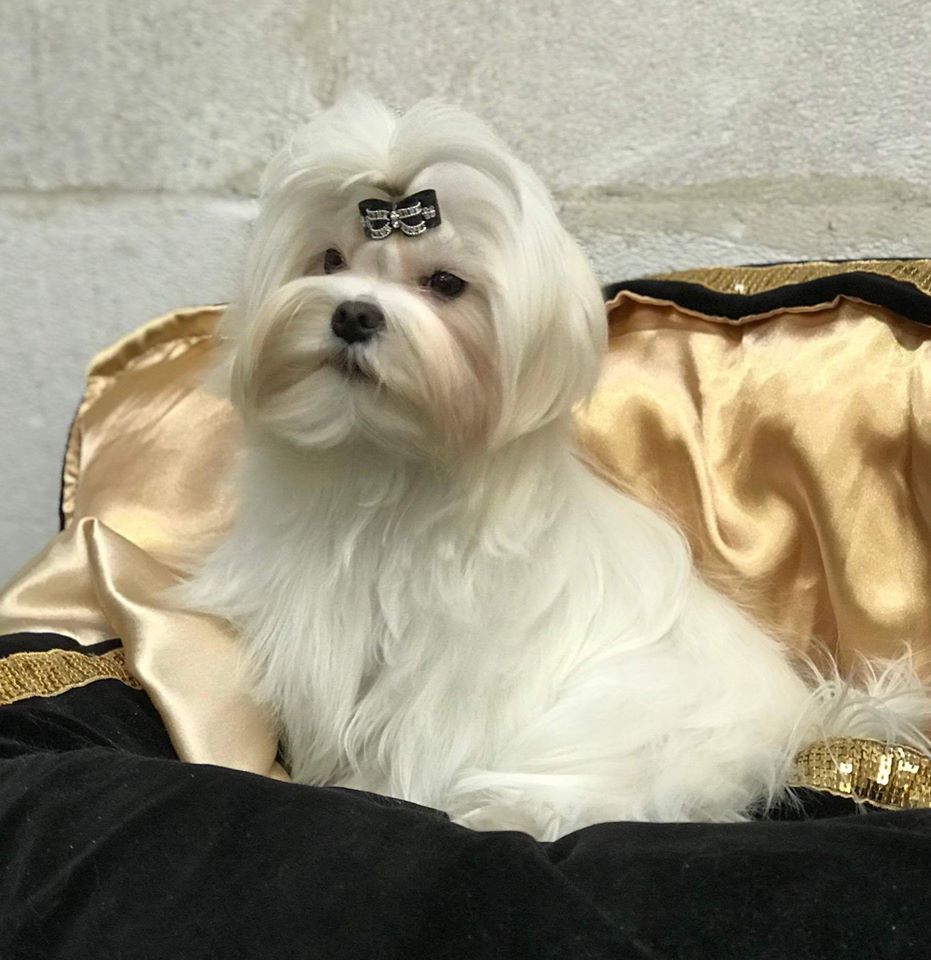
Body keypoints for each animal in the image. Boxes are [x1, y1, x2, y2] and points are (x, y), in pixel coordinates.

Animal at [182, 95, 931, 840]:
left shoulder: (454, 668)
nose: (352, 314)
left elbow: (419, 741)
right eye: (330, 260)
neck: (382, 461)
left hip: (636, 720)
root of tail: (803, 716)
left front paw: (388, 792)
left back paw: (505, 806)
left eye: (446, 284)